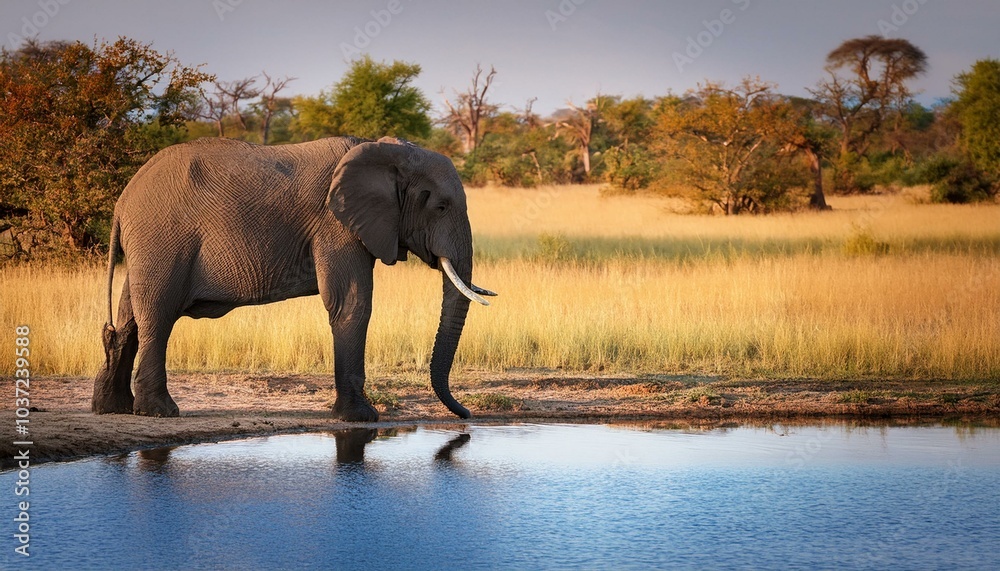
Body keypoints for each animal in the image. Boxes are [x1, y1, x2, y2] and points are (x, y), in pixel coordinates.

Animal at [92, 136, 495, 421]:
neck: (386, 152)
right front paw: (361, 418)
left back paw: (112, 408)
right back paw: (160, 412)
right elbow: (351, 303)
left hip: (150, 244)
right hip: (162, 238)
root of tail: (122, 200)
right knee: (157, 317)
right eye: (440, 206)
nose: (466, 416)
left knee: (129, 316)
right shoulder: (335, 225)